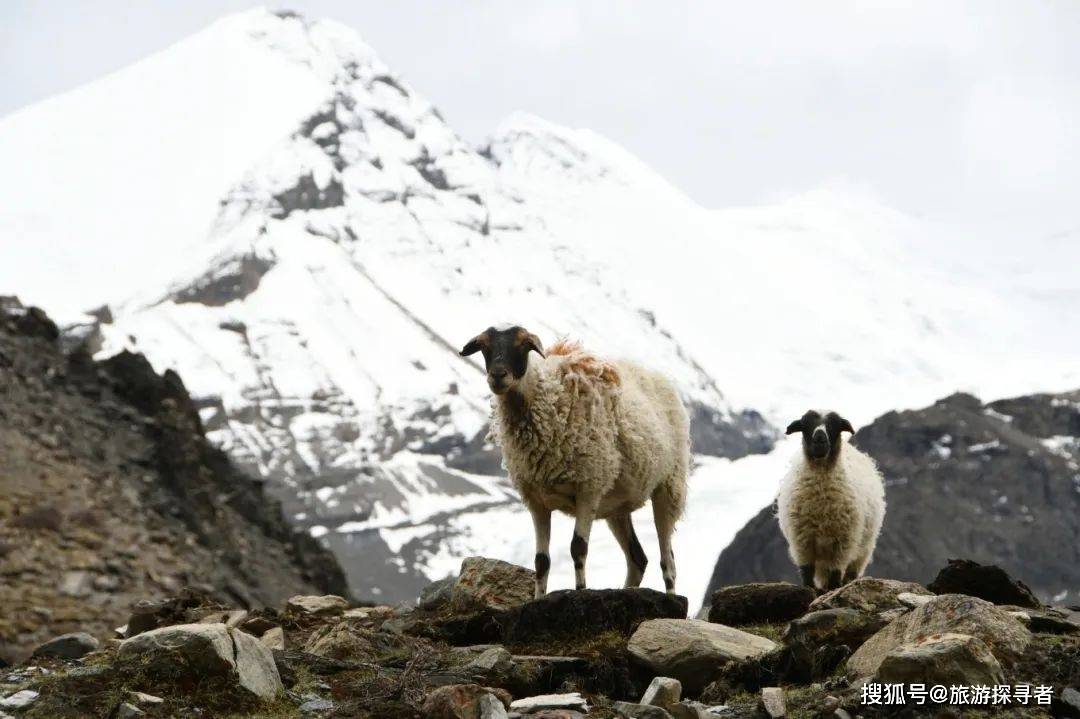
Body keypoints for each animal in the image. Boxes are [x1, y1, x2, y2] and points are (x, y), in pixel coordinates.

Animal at [460, 323, 686, 591]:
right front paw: (540, 596)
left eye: (523, 345)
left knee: (668, 561)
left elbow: (578, 548)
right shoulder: (535, 499)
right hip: (617, 505)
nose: (497, 375)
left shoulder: (588, 489)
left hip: (669, 487)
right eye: (484, 346)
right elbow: (541, 561)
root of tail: (656, 375)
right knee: (638, 559)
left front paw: (580, 591)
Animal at [777, 408, 885, 587]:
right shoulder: (802, 542)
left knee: (849, 573)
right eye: (805, 424)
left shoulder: (843, 544)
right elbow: (807, 572)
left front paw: (834, 588)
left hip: (862, 550)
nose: (820, 440)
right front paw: (809, 588)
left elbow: (835, 574)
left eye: (835, 425)